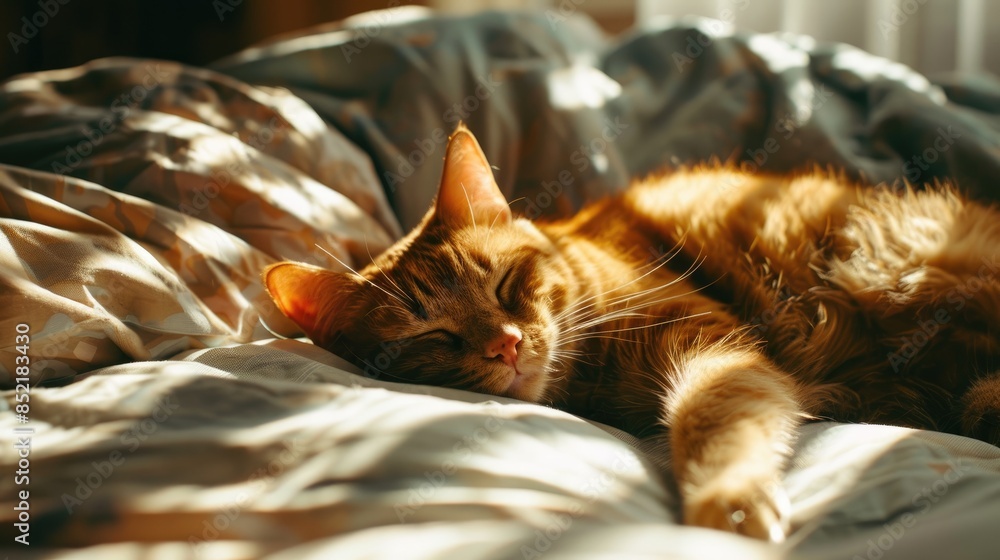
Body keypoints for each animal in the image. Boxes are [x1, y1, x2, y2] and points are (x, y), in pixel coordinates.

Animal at [266, 122, 1000, 540]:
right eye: (431, 338)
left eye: (505, 284)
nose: (506, 344)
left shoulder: (714, 348)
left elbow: (713, 419)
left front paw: (729, 500)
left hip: (895, 265)